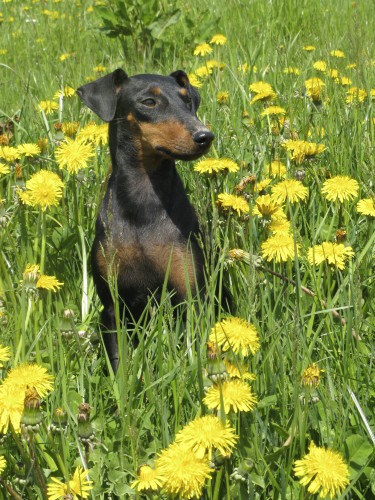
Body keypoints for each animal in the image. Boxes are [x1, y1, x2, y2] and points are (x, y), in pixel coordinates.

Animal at [77, 68, 214, 372]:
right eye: (149, 102)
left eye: (188, 101)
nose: (205, 135)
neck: (143, 199)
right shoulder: (113, 307)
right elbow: (120, 365)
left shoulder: (191, 298)